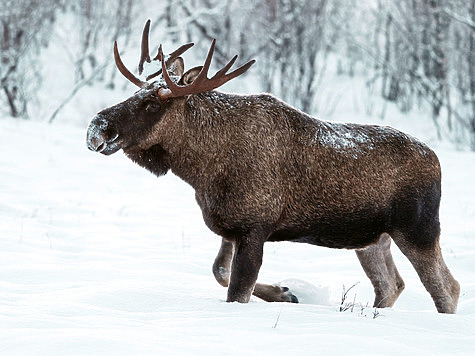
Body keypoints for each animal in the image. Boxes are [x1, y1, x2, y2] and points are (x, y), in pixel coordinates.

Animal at [86, 20, 462, 312]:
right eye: (134, 93)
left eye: (153, 104)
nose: (97, 128)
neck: (200, 169)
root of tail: (438, 162)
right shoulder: (230, 226)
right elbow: (220, 273)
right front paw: (285, 292)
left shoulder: (255, 226)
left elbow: (236, 291)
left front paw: (283, 293)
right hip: (371, 239)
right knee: (391, 284)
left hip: (418, 229)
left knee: (447, 287)